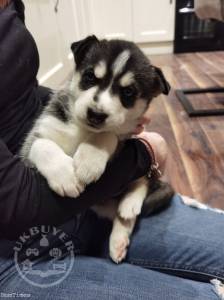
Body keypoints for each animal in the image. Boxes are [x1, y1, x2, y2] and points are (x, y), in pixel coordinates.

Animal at [21, 35, 171, 262]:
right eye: (90, 76)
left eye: (128, 92)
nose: (96, 114)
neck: (82, 129)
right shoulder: (33, 141)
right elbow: (41, 144)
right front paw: (65, 175)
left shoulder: (123, 142)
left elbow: (107, 134)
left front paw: (89, 160)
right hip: (99, 204)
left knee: (143, 182)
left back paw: (128, 208)